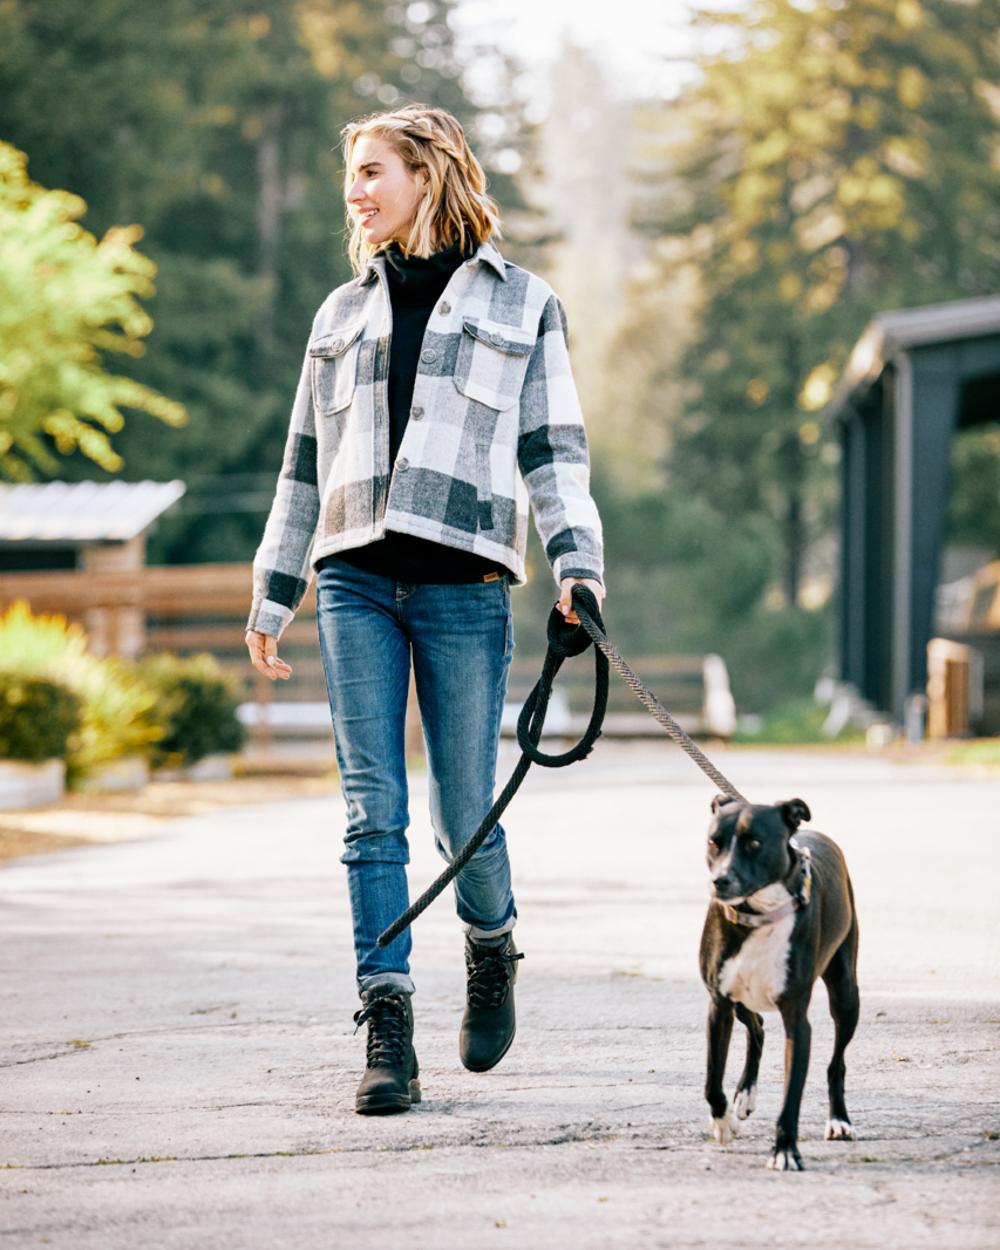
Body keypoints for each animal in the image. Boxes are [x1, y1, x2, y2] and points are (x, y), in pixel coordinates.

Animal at [700, 795, 855, 1165]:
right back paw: (745, 1095)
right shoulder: (719, 1006)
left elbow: (792, 1095)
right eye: (713, 842)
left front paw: (785, 1151)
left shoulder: (797, 1020)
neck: (757, 914)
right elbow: (712, 1080)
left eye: (755, 843)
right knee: (756, 1027)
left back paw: (838, 1119)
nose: (720, 881)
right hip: (742, 1002)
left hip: (846, 996)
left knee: (836, 1064)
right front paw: (722, 1121)